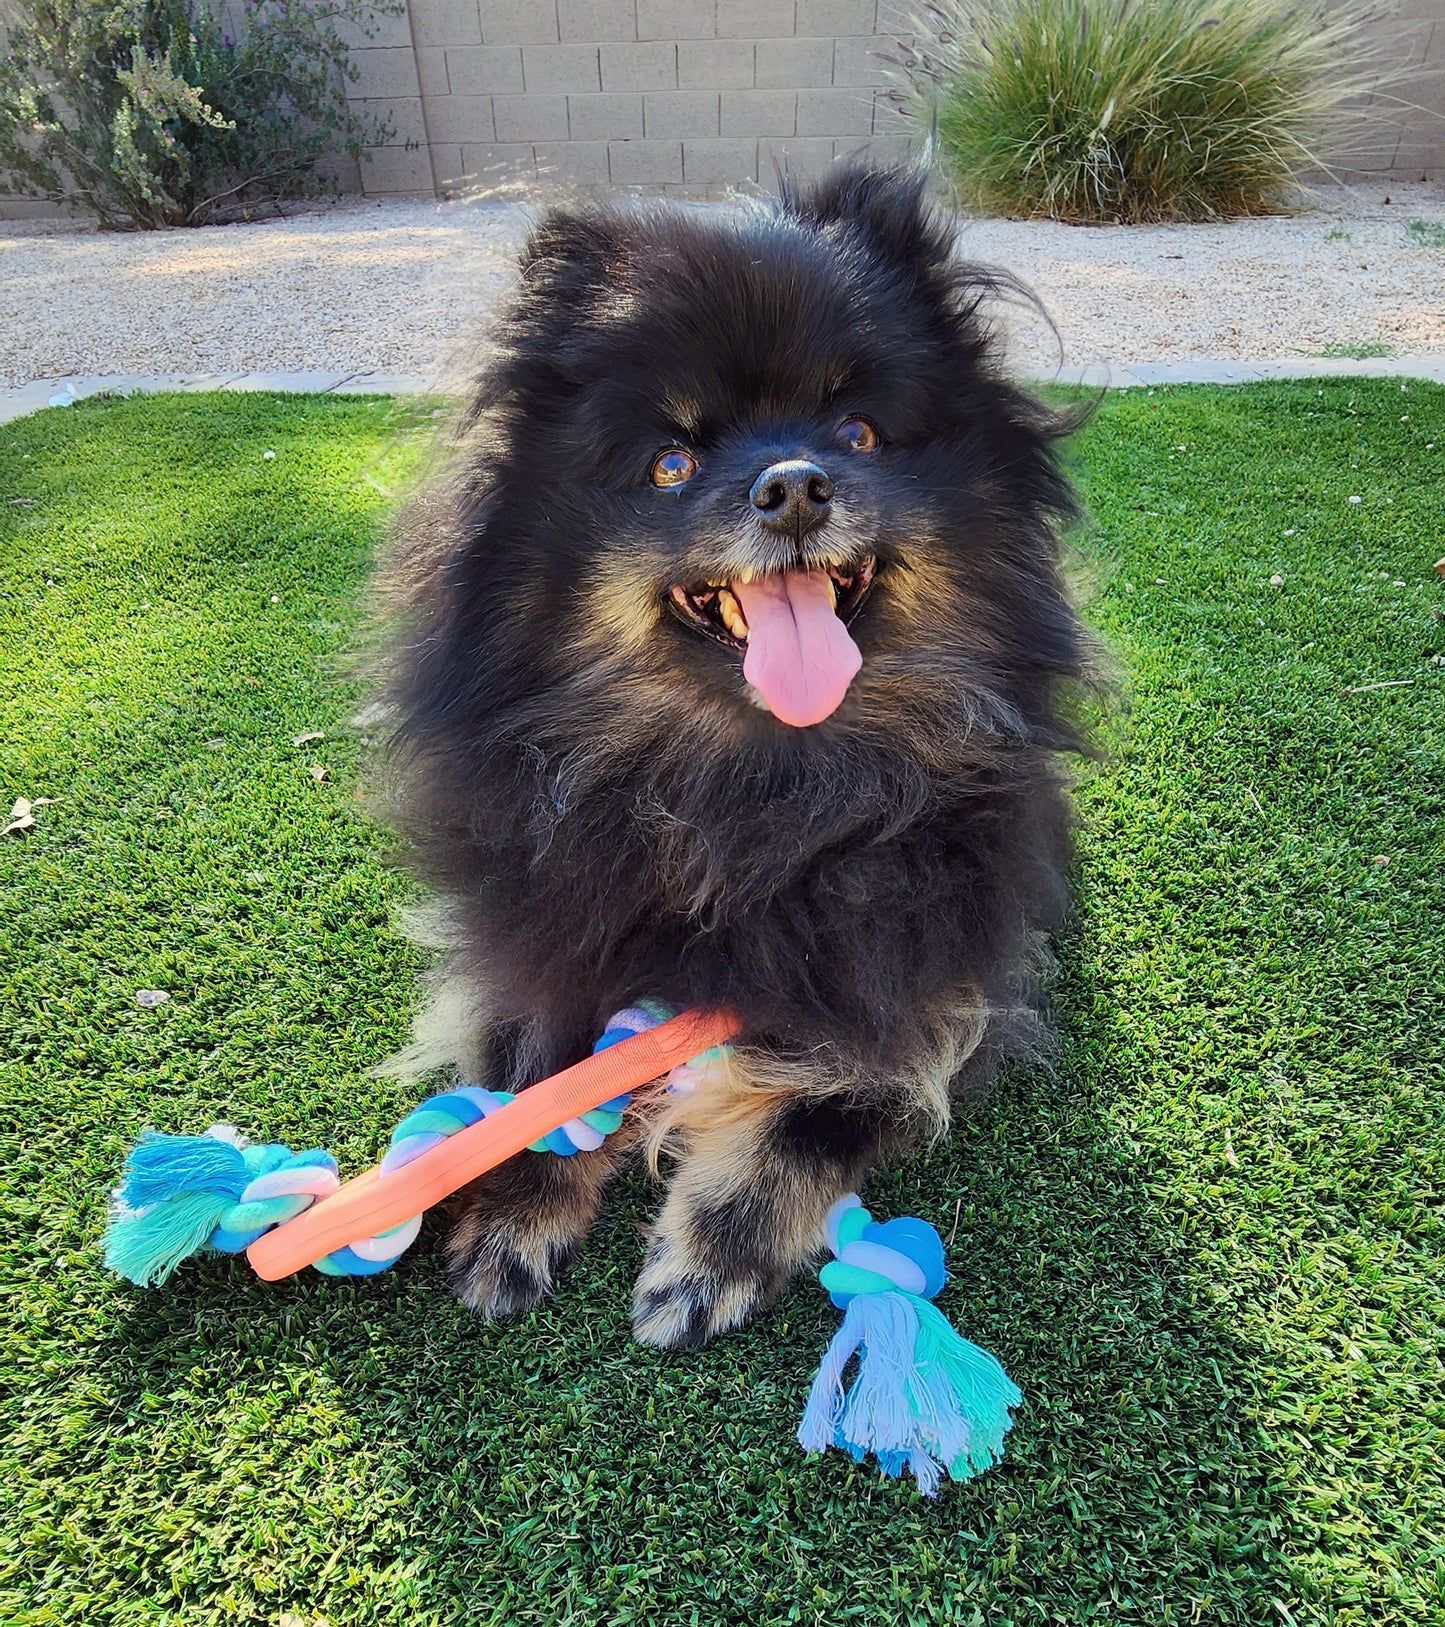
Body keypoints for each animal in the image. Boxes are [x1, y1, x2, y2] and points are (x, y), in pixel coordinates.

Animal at [377, 161, 1087, 1347]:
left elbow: (828, 1103)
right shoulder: (543, 919)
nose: (793, 484)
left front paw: (713, 1252)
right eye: (671, 462)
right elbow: (536, 1069)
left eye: (856, 432)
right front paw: (515, 1211)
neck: (760, 789)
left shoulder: (934, 976)